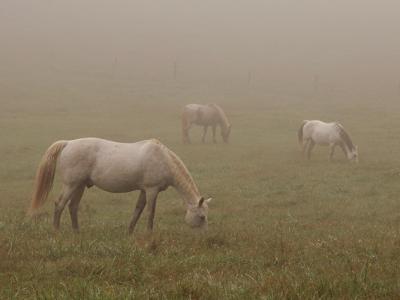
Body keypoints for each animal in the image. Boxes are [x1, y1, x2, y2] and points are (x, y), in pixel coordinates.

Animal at [29, 137, 211, 233]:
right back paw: (56, 231)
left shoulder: (143, 190)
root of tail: (68, 143)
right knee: (59, 204)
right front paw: (149, 234)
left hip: (79, 186)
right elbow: (150, 212)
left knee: (72, 207)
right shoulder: (152, 190)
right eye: (202, 217)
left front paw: (129, 232)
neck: (163, 159)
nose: (204, 235)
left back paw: (77, 232)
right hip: (71, 185)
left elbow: (138, 210)